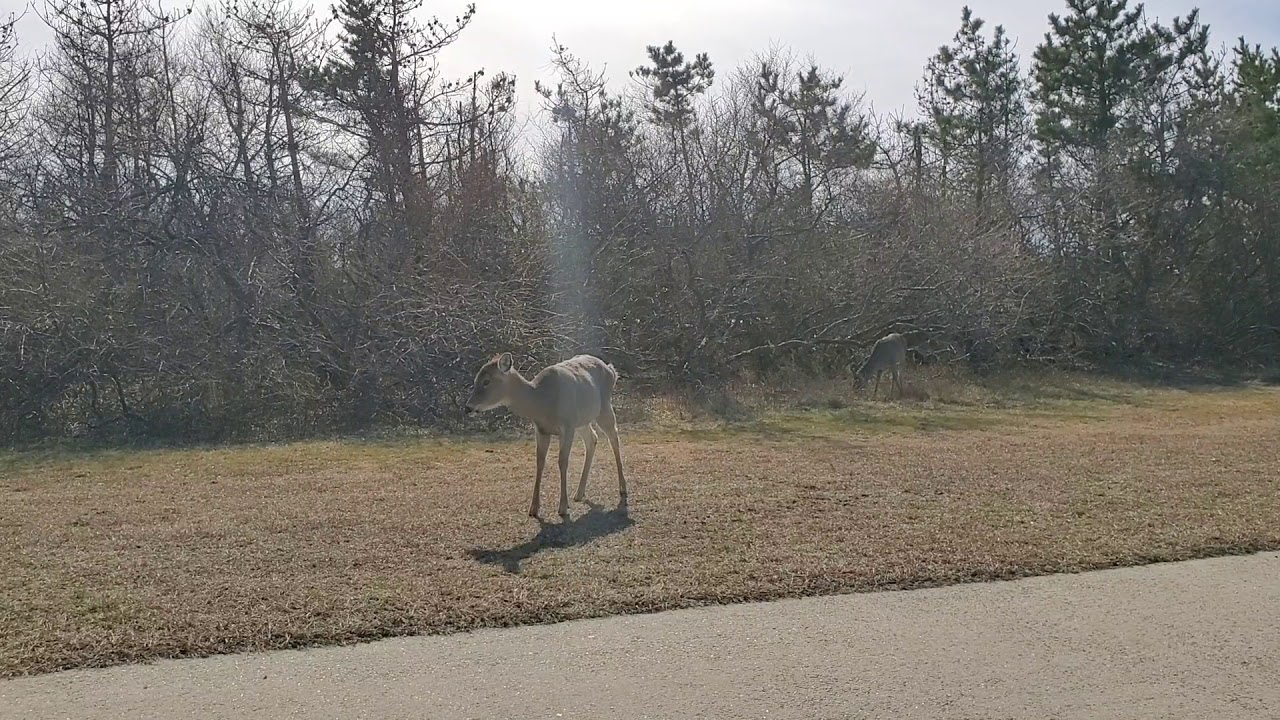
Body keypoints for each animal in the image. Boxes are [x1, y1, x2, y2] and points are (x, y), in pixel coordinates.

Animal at [471, 351, 629, 515]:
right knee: (592, 439)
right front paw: (534, 508)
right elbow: (540, 461)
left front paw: (563, 506)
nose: (468, 407)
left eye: (486, 381)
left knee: (614, 438)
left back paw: (623, 489)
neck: (542, 402)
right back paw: (579, 493)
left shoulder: (567, 425)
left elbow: (562, 461)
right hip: (582, 420)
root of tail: (611, 370)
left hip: (604, 407)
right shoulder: (541, 430)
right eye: (475, 379)